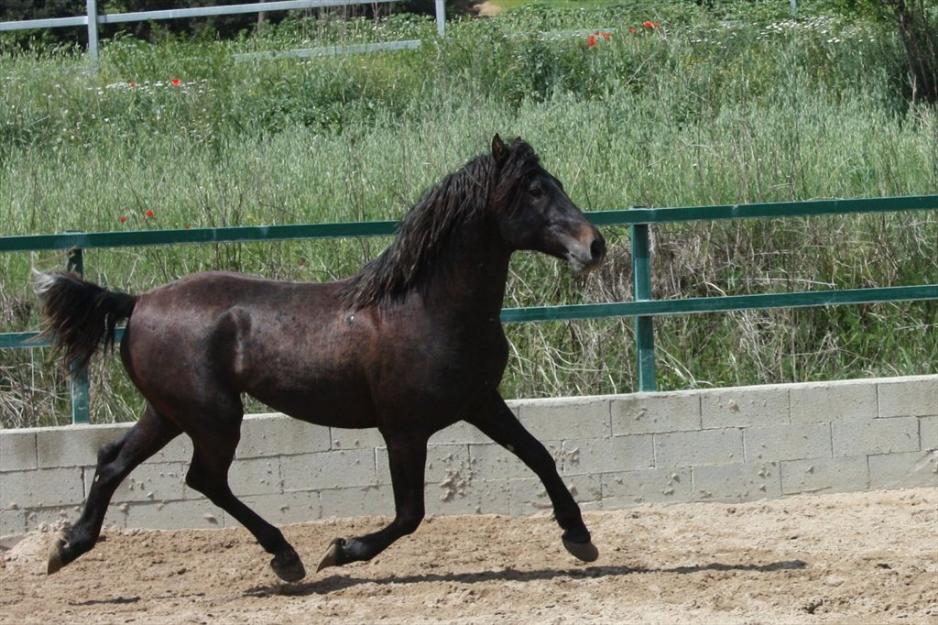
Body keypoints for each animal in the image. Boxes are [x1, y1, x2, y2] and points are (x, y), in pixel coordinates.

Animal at [34, 135, 600, 580]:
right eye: (535, 190)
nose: (595, 246)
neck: (427, 306)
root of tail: (137, 302)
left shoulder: (481, 402)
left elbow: (539, 455)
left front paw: (579, 537)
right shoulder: (404, 430)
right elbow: (409, 514)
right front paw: (341, 550)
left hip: (170, 413)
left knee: (113, 461)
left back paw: (67, 547)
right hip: (214, 416)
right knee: (204, 479)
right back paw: (288, 557)